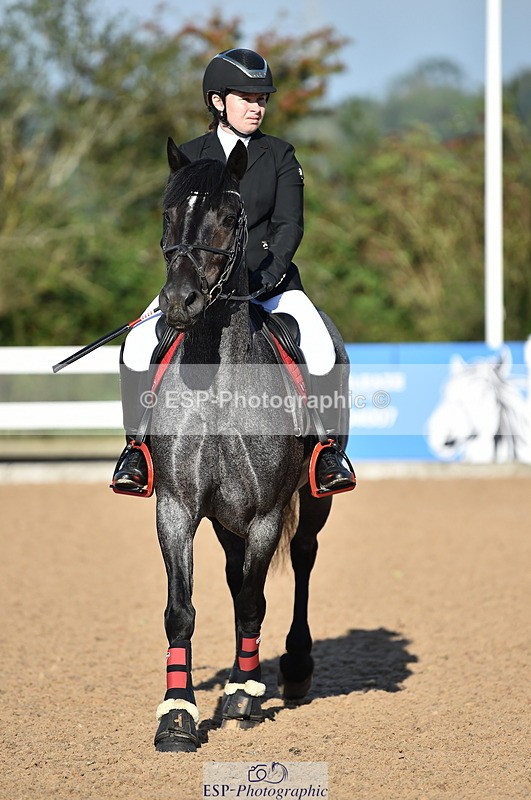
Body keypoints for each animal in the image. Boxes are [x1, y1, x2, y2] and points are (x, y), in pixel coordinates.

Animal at [148, 137, 351, 752]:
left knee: (302, 559)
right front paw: (178, 715)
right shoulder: (177, 508)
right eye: (168, 214)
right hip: (224, 518)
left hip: (310, 500)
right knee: (236, 577)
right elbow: (181, 610)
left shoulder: (265, 514)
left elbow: (255, 603)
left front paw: (242, 694)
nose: (180, 302)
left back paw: (291, 670)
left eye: (229, 216)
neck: (216, 382)